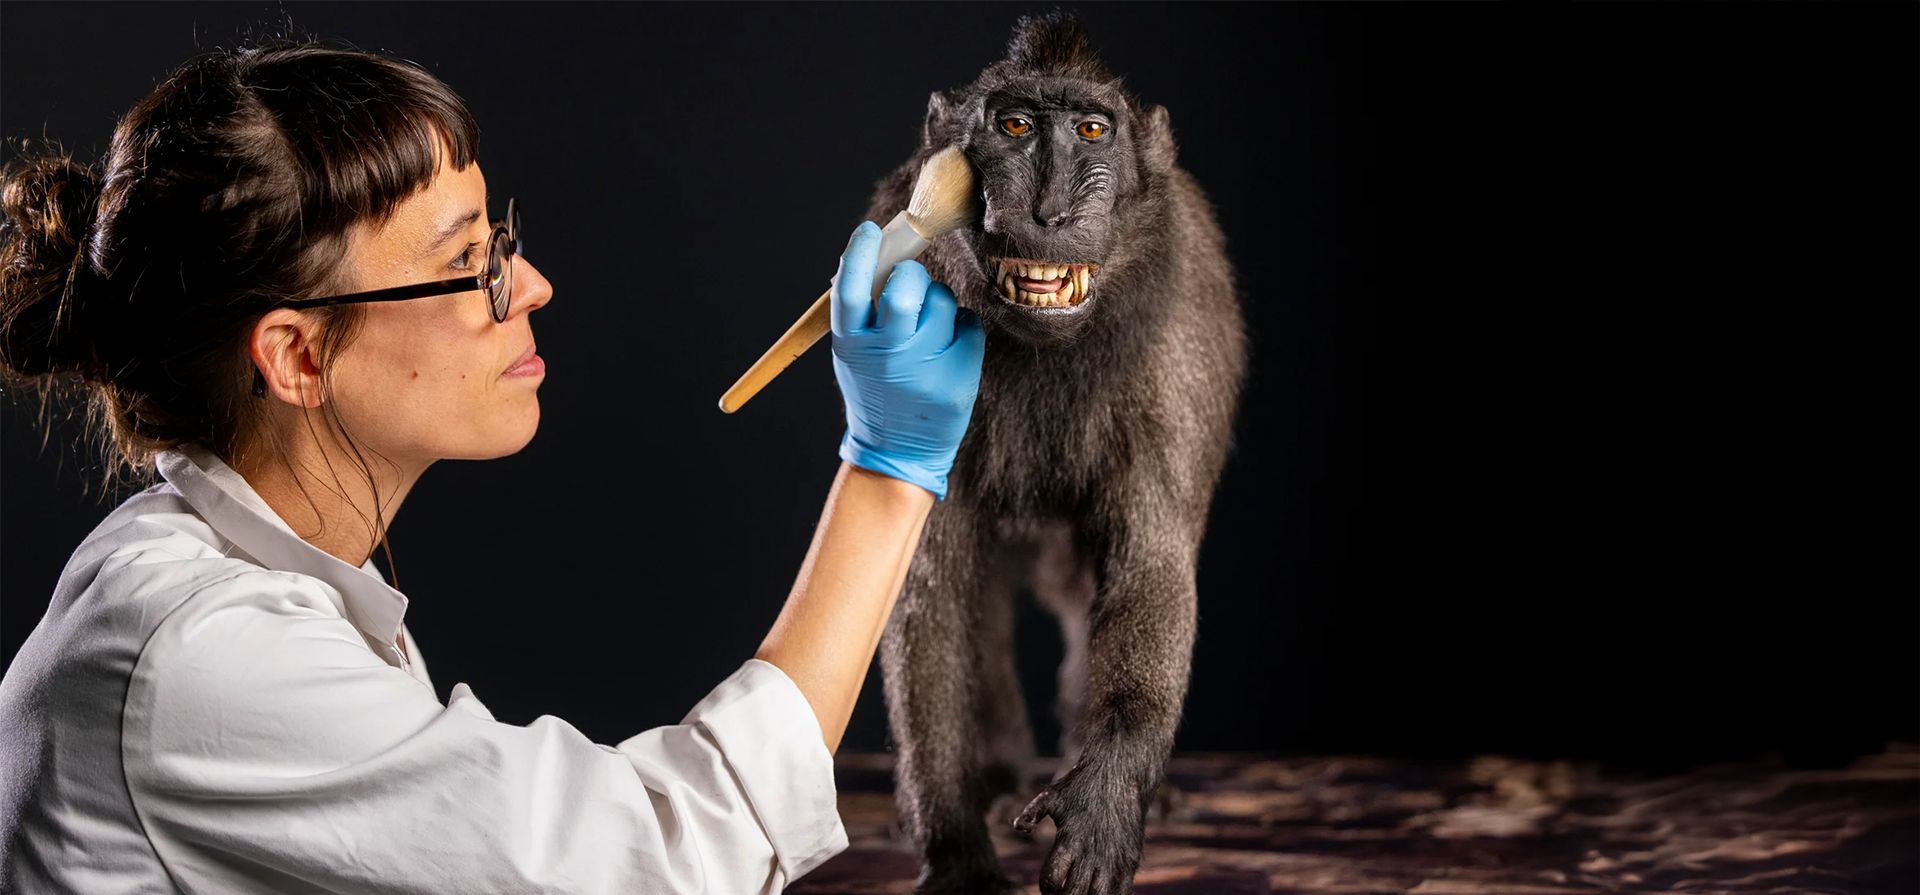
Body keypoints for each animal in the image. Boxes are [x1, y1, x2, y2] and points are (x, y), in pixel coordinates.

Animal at [860, 12, 1249, 895]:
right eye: (1014, 126)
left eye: (1092, 130)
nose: (1051, 211)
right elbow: (928, 593)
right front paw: (953, 843)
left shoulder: (1173, 348)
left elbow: (1153, 562)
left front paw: (1105, 797)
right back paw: (1000, 772)